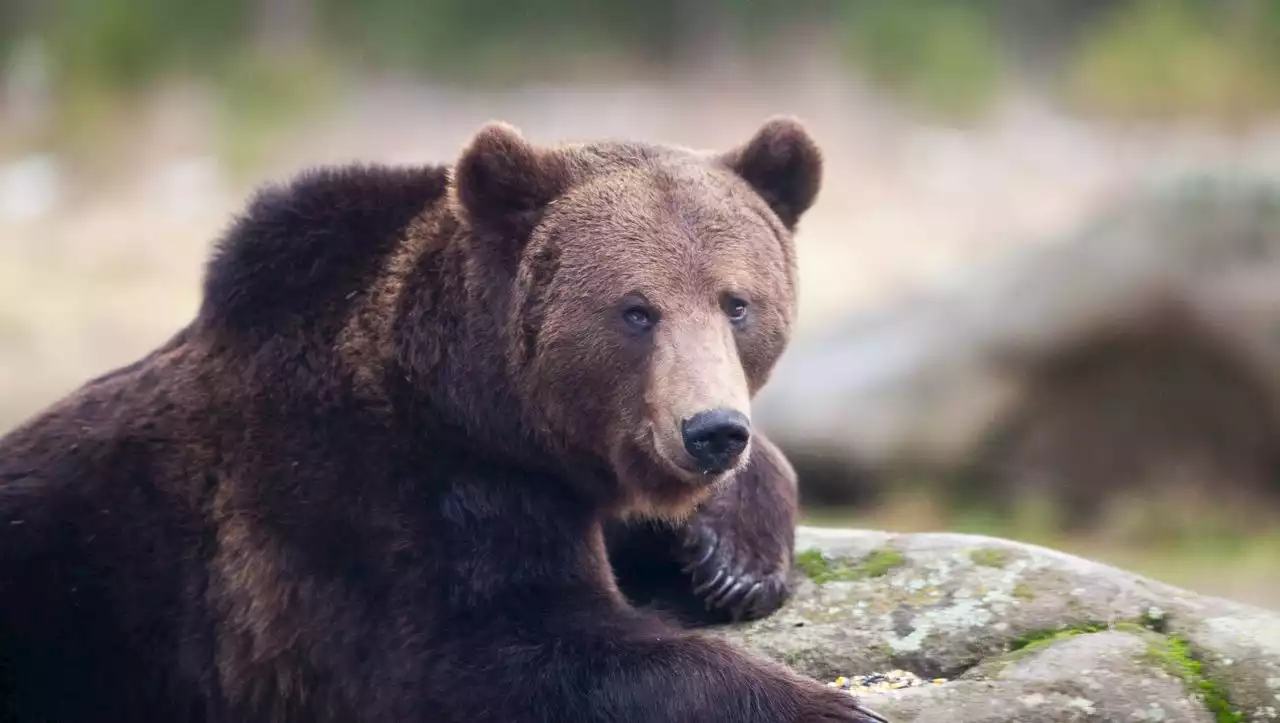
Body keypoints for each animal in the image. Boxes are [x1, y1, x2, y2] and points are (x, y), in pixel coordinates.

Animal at [0, 119, 880, 721]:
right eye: (636, 309)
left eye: (737, 303)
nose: (711, 430)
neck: (477, 402)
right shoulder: (374, 494)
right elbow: (495, 649)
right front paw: (828, 703)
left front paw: (731, 557)